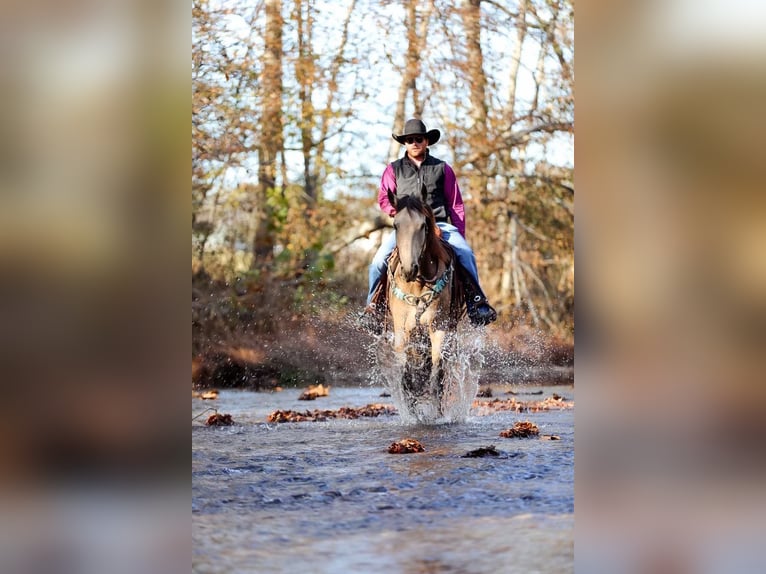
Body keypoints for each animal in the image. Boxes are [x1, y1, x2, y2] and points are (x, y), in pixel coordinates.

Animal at [380, 189, 468, 418]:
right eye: (396, 225)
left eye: (423, 225)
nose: (409, 269)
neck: (417, 283)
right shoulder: (402, 329)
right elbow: (405, 374)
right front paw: (412, 412)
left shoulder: (438, 327)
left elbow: (437, 373)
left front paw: (437, 414)